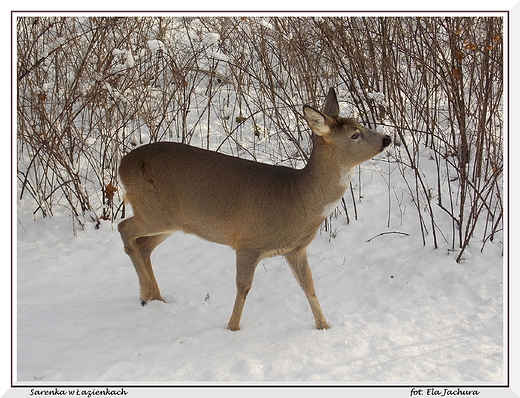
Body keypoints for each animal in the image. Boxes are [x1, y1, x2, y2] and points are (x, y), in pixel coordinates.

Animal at [118, 88, 392, 332]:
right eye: (355, 135)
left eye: (360, 125)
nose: (387, 139)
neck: (298, 198)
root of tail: (122, 166)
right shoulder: (249, 243)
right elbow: (244, 287)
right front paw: (232, 328)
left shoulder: (296, 249)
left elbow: (309, 286)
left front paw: (324, 327)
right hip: (153, 210)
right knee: (124, 229)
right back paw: (145, 293)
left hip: (171, 220)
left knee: (143, 245)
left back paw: (156, 298)